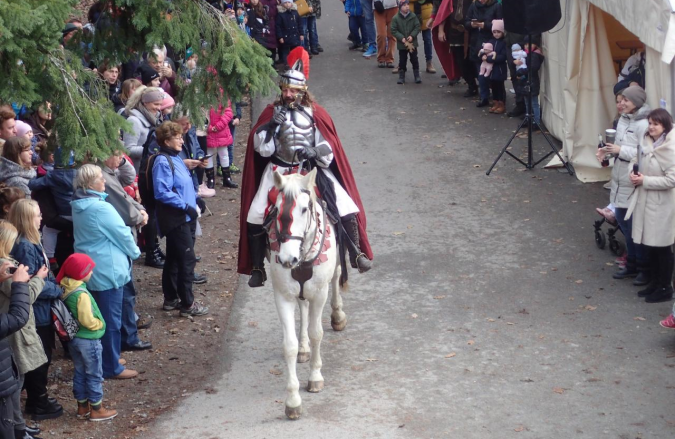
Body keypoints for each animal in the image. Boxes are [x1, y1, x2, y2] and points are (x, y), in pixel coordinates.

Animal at [266, 170, 346, 422]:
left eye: (303, 209)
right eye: (277, 208)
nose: (287, 259)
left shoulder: (320, 293)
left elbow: (316, 333)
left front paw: (315, 377)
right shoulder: (282, 296)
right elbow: (289, 345)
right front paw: (292, 401)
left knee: (337, 277)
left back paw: (338, 315)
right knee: (302, 307)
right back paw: (303, 348)